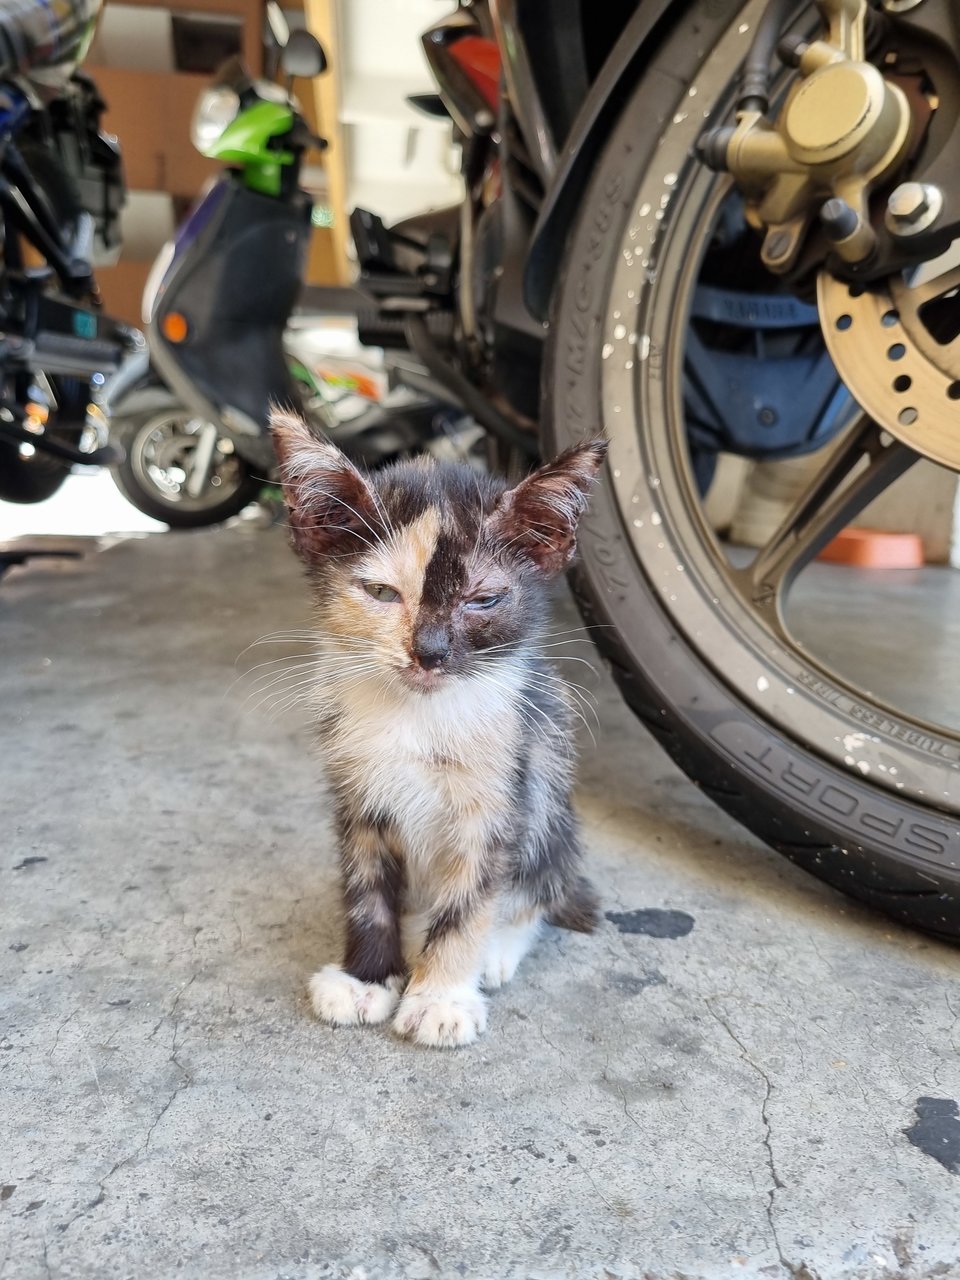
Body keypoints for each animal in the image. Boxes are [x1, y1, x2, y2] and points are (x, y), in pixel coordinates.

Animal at [268, 412, 609, 1049]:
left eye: (484, 600)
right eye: (380, 592)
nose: (430, 652)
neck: (418, 718)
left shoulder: (501, 794)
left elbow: (471, 902)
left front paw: (441, 997)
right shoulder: (357, 789)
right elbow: (367, 892)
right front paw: (366, 979)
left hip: (549, 802)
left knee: (539, 888)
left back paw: (495, 950)